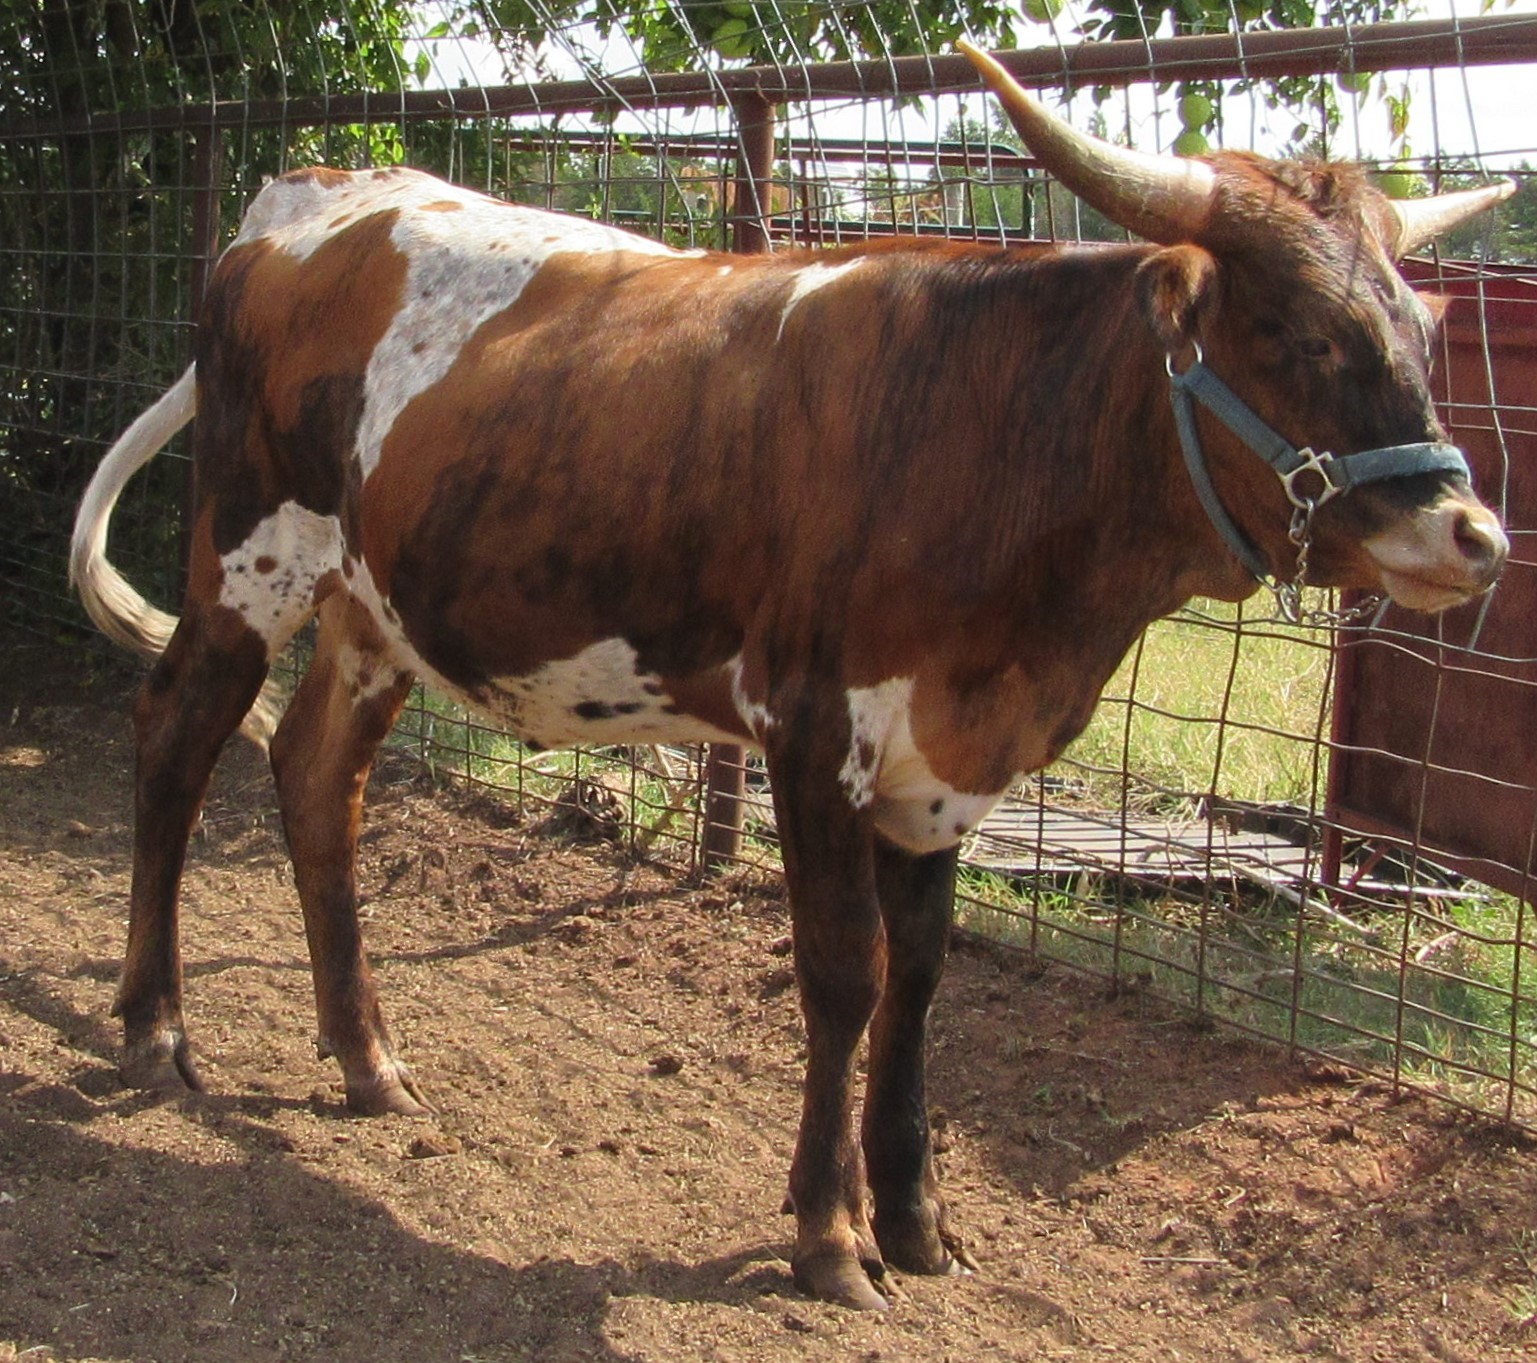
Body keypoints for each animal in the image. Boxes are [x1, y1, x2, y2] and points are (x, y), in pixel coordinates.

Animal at [71, 41, 1509, 1310]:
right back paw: (154, 1028)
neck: (995, 429)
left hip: (374, 609)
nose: (1472, 535)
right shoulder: (815, 730)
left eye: (1421, 327)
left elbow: (919, 974)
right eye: (1299, 333)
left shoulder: (941, 765)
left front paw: (916, 1217)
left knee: (315, 778)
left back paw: (366, 1056)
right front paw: (829, 1233)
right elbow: (842, 973)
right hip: (247, 557)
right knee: (173, 742)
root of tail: (313, 192)